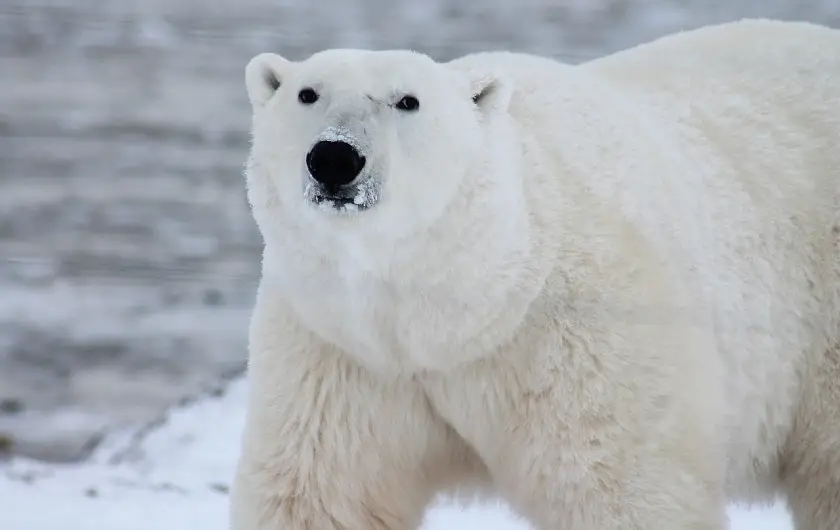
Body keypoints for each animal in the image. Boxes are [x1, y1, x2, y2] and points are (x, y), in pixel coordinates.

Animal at [230, 18, 840, 528]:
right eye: (307, 93)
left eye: (407, 100)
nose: (334, 157)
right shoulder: (341, 352)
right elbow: (322, 492)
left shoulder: (578, 337)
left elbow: (620, 488)